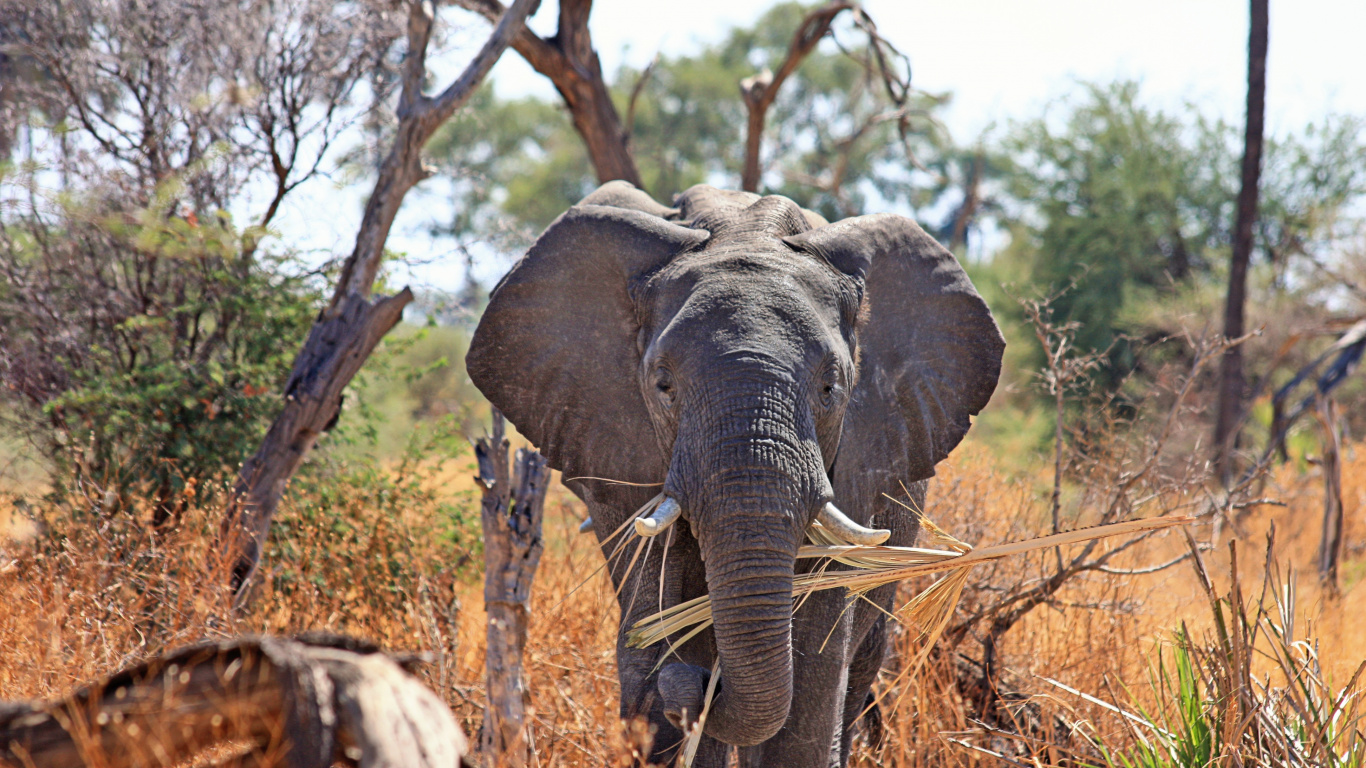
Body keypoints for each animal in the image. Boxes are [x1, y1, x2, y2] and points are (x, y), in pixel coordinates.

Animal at [466, 181, 1003, 766]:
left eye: (831, 387)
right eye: (663, 385)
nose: (701, 684)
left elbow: (813, 662)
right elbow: (657, 613)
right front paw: (670, 670)